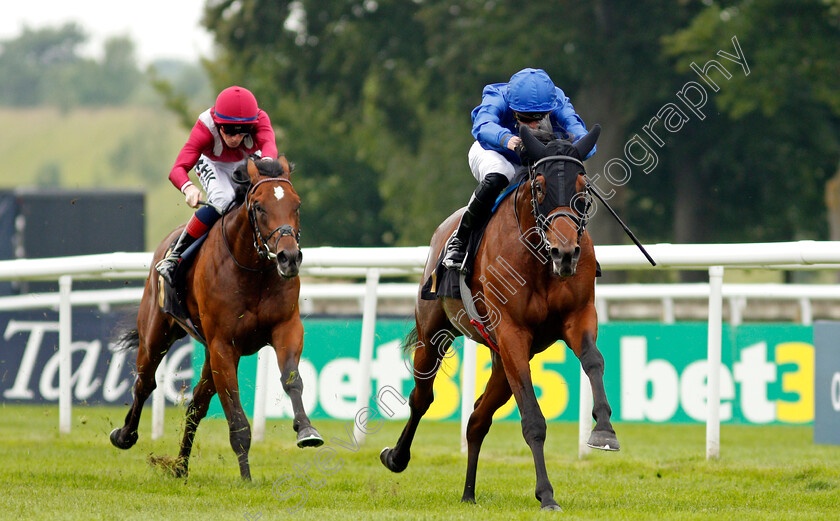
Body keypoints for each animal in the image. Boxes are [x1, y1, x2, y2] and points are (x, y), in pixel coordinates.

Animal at [111, 156, 322, 478]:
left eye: (296, 205)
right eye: (259, 207)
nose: (289, 258)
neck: (253, 271)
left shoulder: (286, 328)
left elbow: (292, 379)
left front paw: (306, 430)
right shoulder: (224, 345)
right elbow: (236, 418)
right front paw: (247, 478)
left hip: (208, 354)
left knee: (196, 404)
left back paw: (181, 467)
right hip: (156, 334)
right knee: (144, 383)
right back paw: (125, 436)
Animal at [380, 125, 616, 508]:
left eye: (583, 187)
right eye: (540, 186)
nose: (565, 253)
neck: (539, 258)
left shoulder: (577, 316)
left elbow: (594, 360)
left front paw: (604, 431)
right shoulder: (512, 332)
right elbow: (533, 420)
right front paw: (546, 494)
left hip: (501, 358)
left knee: (478, 418)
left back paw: (468, 493)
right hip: (435, 333)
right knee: (421, 397)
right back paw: (397, 456)